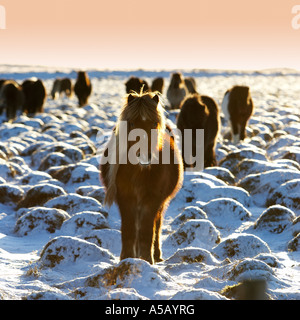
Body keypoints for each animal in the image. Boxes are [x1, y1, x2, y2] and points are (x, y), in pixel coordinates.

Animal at [100, 91, 183, 264]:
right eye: (131, 124)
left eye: (154, 123)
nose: (144, 156)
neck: (139, 172)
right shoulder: (125, 199)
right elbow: (129, 229)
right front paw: (127, 258)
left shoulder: (152, 200)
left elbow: (147, 230)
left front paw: (146, 259)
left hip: (160, 203)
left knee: (157, 224)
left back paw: (156, 255)